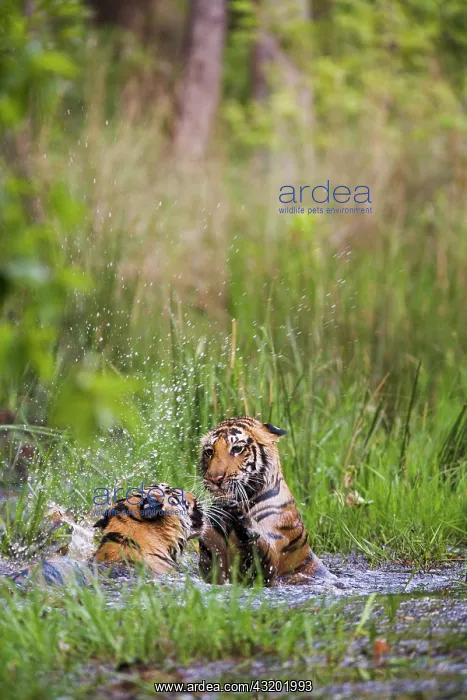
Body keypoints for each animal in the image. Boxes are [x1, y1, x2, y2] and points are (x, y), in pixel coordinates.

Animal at [198, 417, 336, 586]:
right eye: (209, 451)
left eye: (237, 449)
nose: (215, 478)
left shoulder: (273, 552)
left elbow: (260, 549)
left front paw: (239, 516)